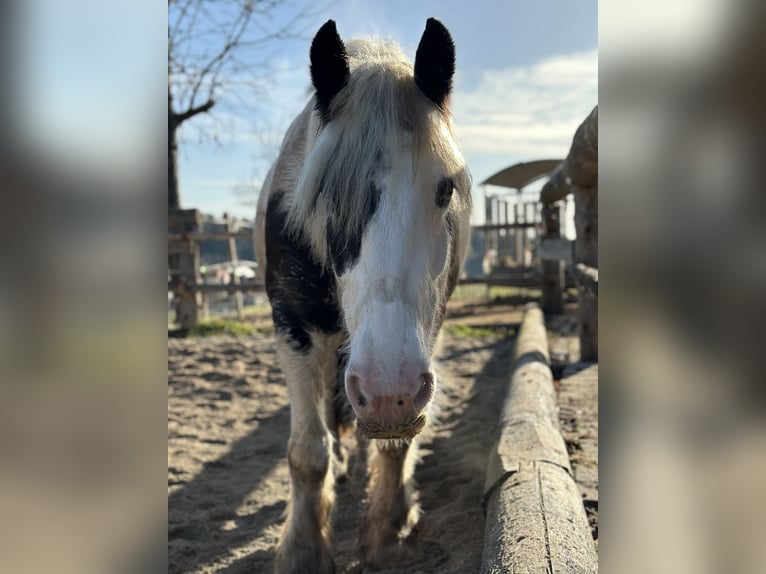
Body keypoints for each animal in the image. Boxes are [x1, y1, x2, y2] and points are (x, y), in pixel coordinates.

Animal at [256, 18, 474, 574]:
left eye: (445, 190)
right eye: (324, 193)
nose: (385, 391)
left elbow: (396, 444)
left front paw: (388, 530)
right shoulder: (293, 329)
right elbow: (307, 452)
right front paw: (303, 551)